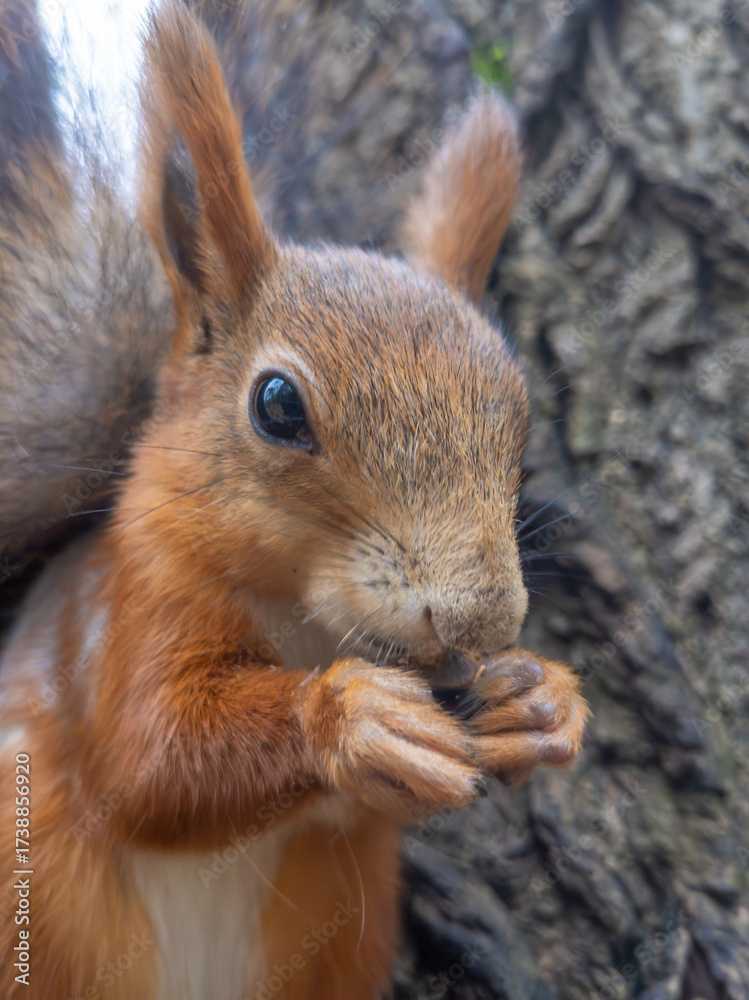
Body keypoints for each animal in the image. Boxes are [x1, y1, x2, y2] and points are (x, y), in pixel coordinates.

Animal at [0, 2, 588, 998]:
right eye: (277, 406)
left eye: (519, 424)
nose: (479, 621)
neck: (309, 625)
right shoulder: (126, 612)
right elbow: (146, 757)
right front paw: (353, 718)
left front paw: (544, 706)